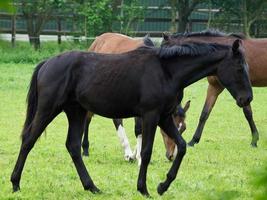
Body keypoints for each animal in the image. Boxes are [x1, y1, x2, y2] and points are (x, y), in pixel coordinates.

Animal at [84, 32, 191, 164]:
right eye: (173, 126)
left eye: (184, 128)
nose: (172, 156)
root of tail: (98, 39)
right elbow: (138, 129)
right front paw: (136, 156)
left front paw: (136, 155)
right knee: (90, 119)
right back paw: (86, 149)